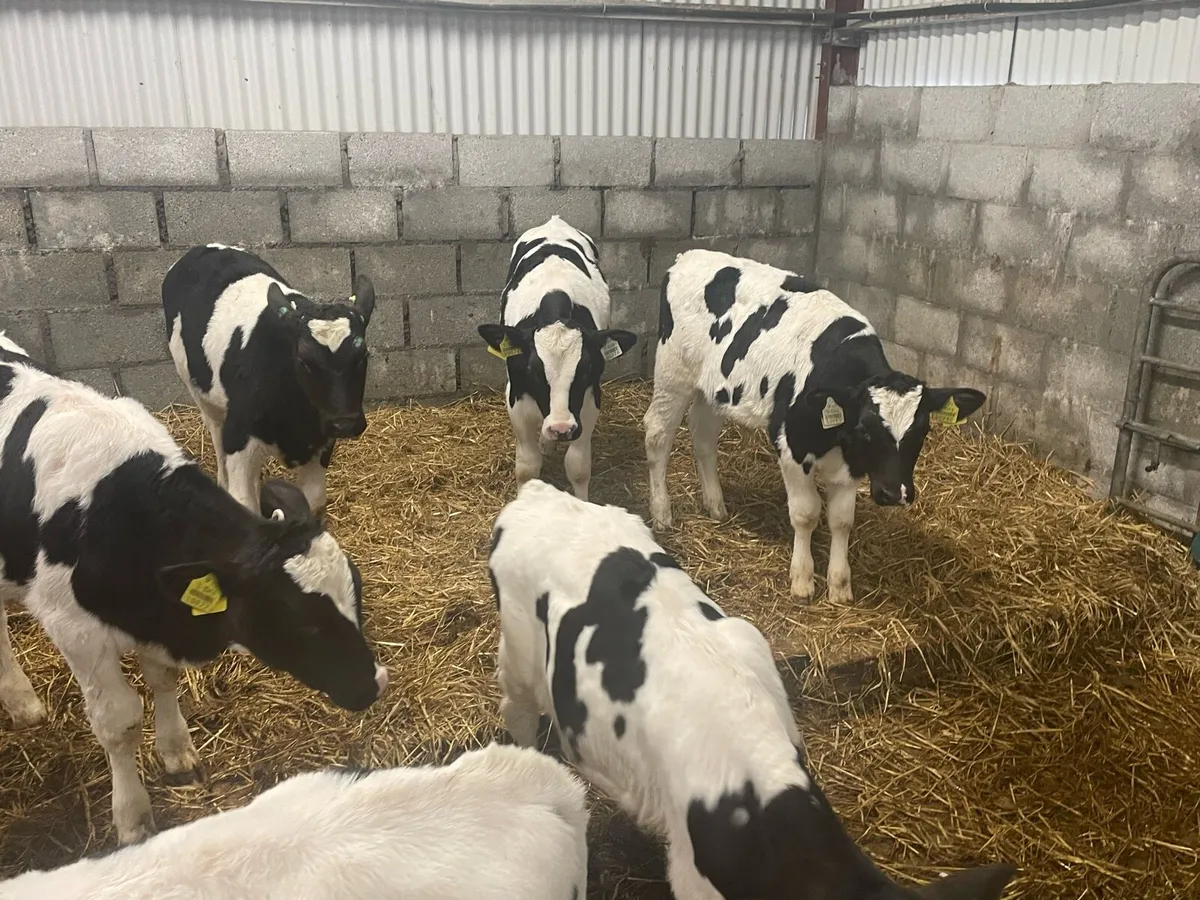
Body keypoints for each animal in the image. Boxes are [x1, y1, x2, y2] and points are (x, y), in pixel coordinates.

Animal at [0, 342, 387, 846]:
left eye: (356, 594)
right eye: (303, 623)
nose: (375, 683)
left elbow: (163, 680)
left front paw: (177, 752)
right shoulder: (75, 630)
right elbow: (118, 722)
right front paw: (132, 817)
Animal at [162, 244, 376, 514]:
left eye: (362, 356)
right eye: (303, 361)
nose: (344, 423)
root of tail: (201, 248)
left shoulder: (321, 441)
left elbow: (312, 499)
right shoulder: (238, 436)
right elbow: (244, 501)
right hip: (200, 394)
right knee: (216, 436)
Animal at [476, 216, 637, 500]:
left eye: (586, 370)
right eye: (532, 371)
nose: (561, 429)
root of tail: (555, 221)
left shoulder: (589, 401)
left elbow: (578, 466)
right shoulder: (515, 399)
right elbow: (528, 467)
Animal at [645, 249, 986, 603]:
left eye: (922, 432)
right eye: (865, 429)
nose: (895, 494)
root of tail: (689, 256)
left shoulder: (853, 464)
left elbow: (842, 520)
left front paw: (839, 584)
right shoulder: (791, 447)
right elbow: (806, 513)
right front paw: (802, 579)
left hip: (713, 389)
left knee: (704, 437)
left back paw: (715, 505)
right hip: (673, 373)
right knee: (657, 435)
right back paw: (662, 513)